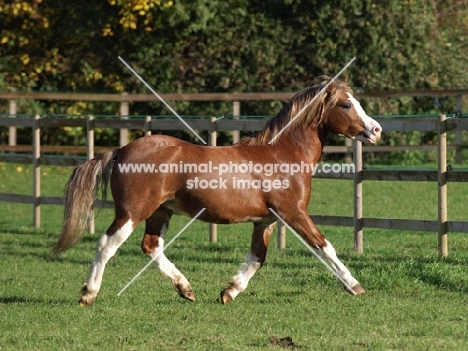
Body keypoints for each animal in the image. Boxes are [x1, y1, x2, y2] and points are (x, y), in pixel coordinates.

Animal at [52, 76, 380, 306]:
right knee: (107, 244)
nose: (376, 130)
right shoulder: (294, 214)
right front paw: (355, 285)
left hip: (160, 212)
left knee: (151, 246)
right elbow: (325, 247)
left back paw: (186, 289)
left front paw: (229, 292)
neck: (281, 154)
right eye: (346, 104)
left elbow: (257, 258)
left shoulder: (266, 221)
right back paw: (88, 294)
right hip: (132, 212)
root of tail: (121, 150)